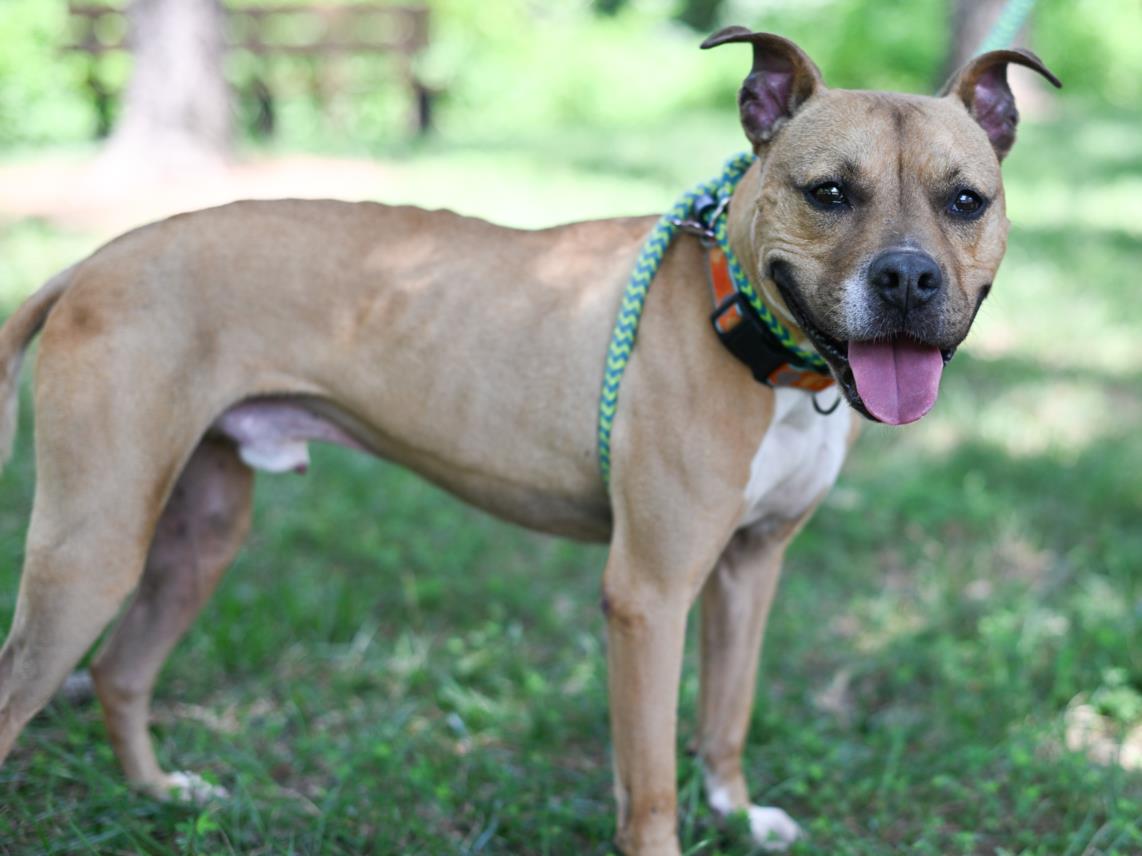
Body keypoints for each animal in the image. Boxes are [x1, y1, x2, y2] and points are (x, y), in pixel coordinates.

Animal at [0, 28, 1055, 856]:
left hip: (197, 536)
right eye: (830, 193)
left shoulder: (750, 569)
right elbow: (650, 780)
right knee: (24, 694)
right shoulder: (648, 597)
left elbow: (725, 718)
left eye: (967, 201)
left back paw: (163, 797)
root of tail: (97, 256)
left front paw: (737, 815)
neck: (753, 334)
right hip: (92, 547)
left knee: (121, 671)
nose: (909, 280)